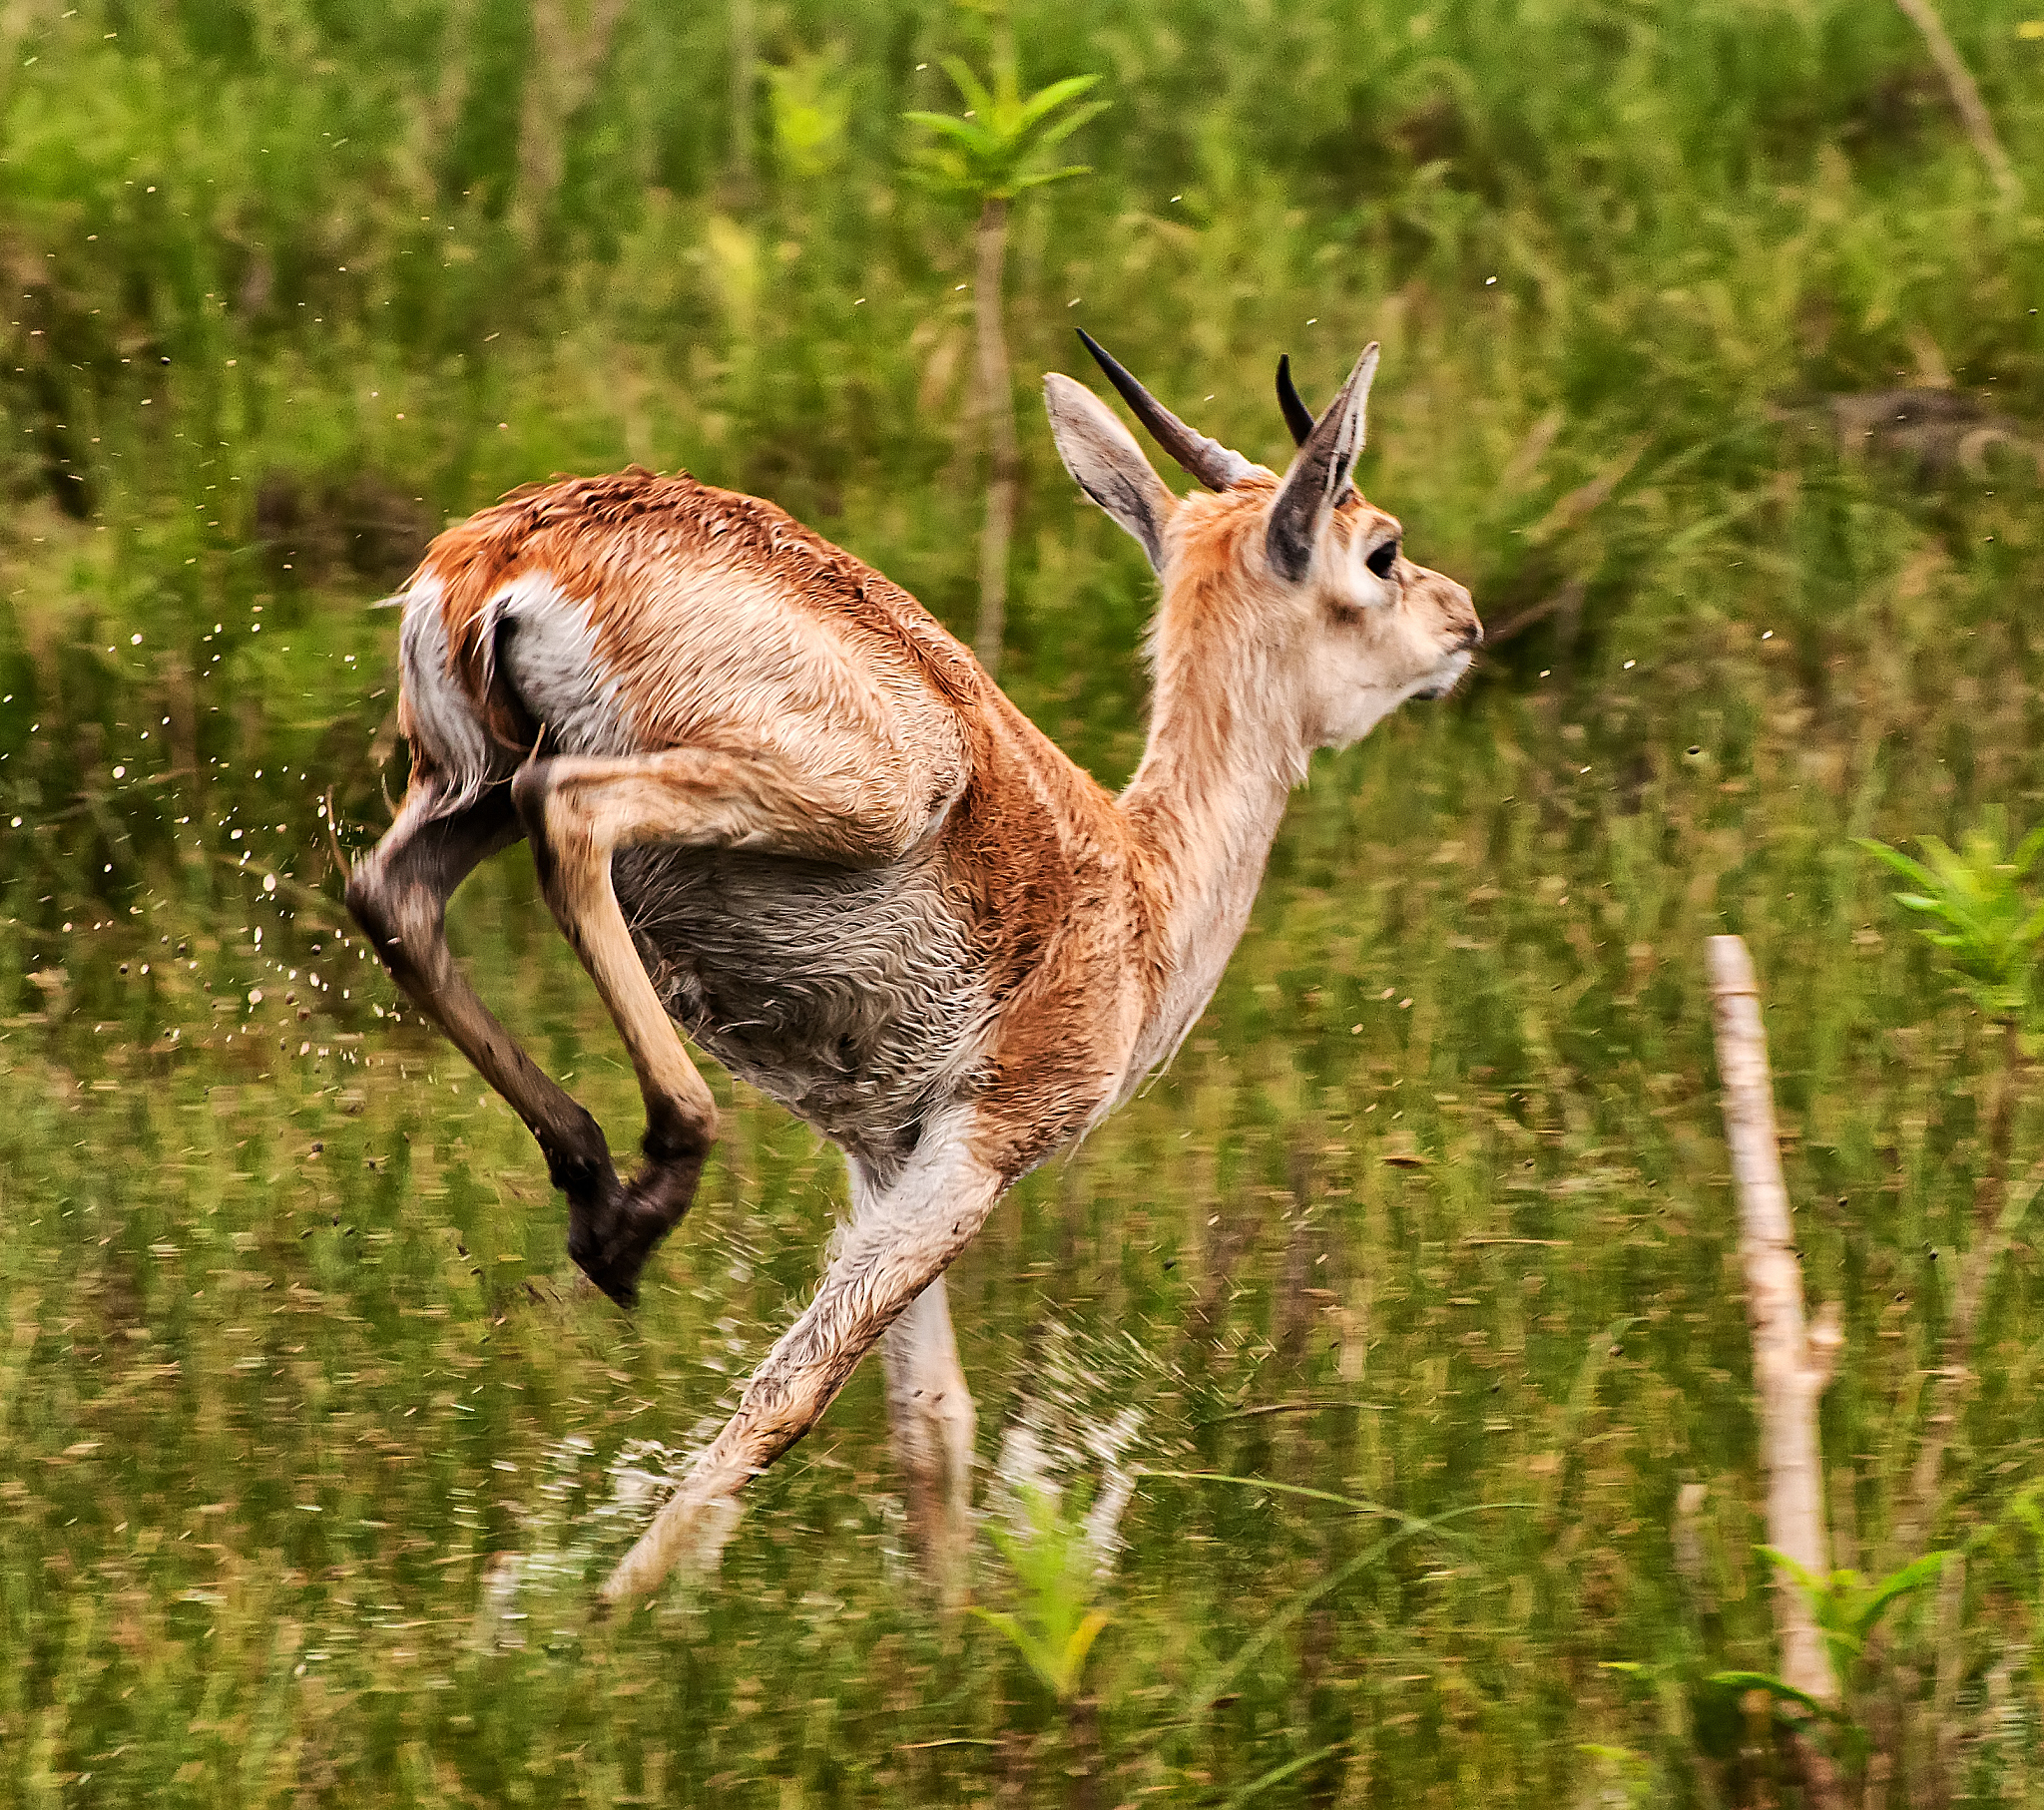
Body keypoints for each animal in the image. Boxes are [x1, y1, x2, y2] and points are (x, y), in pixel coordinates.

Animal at [344, 331, 1480, 1602]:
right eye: (1378, 548)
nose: (1463, 619)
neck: (1137, 888)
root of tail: (507, 552)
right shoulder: (979, 1150)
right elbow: (793, 1393)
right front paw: (615, 1613)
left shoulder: (886, 1153)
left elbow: (929, 1423)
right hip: (832, 791)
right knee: (568, 813)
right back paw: (646, 1191)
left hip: (466, 786)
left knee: (388, 888)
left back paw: (593, 1185)